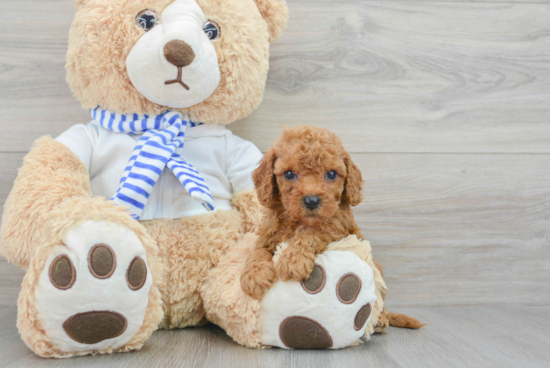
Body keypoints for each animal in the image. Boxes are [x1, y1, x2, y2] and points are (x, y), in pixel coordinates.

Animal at [242, 126, 366, 300]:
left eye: (332, 174)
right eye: (289, 174)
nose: (312, 201)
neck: (299, 221)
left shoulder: (339, 229)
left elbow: (310, 233)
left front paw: (293, 260)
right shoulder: (268, 234)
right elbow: (258, 250)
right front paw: (254, 275)